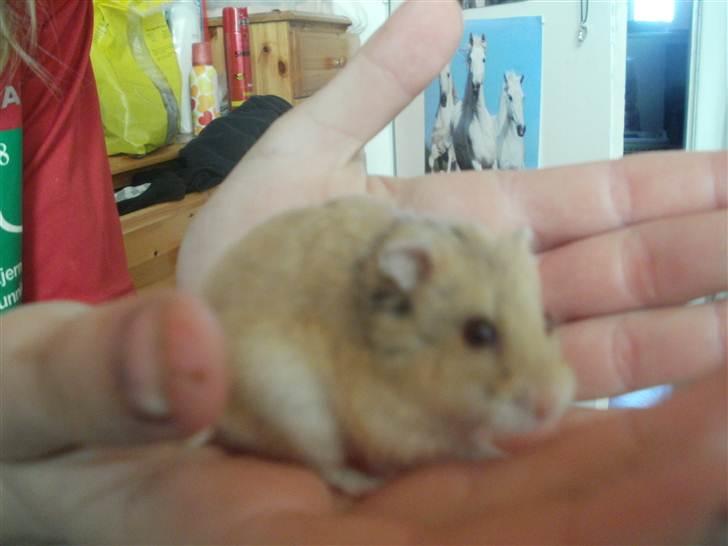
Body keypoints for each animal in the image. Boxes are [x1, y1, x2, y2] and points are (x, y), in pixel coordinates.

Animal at [203, 195, 575, 495]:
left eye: (548, 319)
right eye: (479, 333)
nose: (550, 406)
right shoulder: (396, 425)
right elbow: (460, 443)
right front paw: (494, 453)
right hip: (299, 414)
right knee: (327, 467)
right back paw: (366, 483)